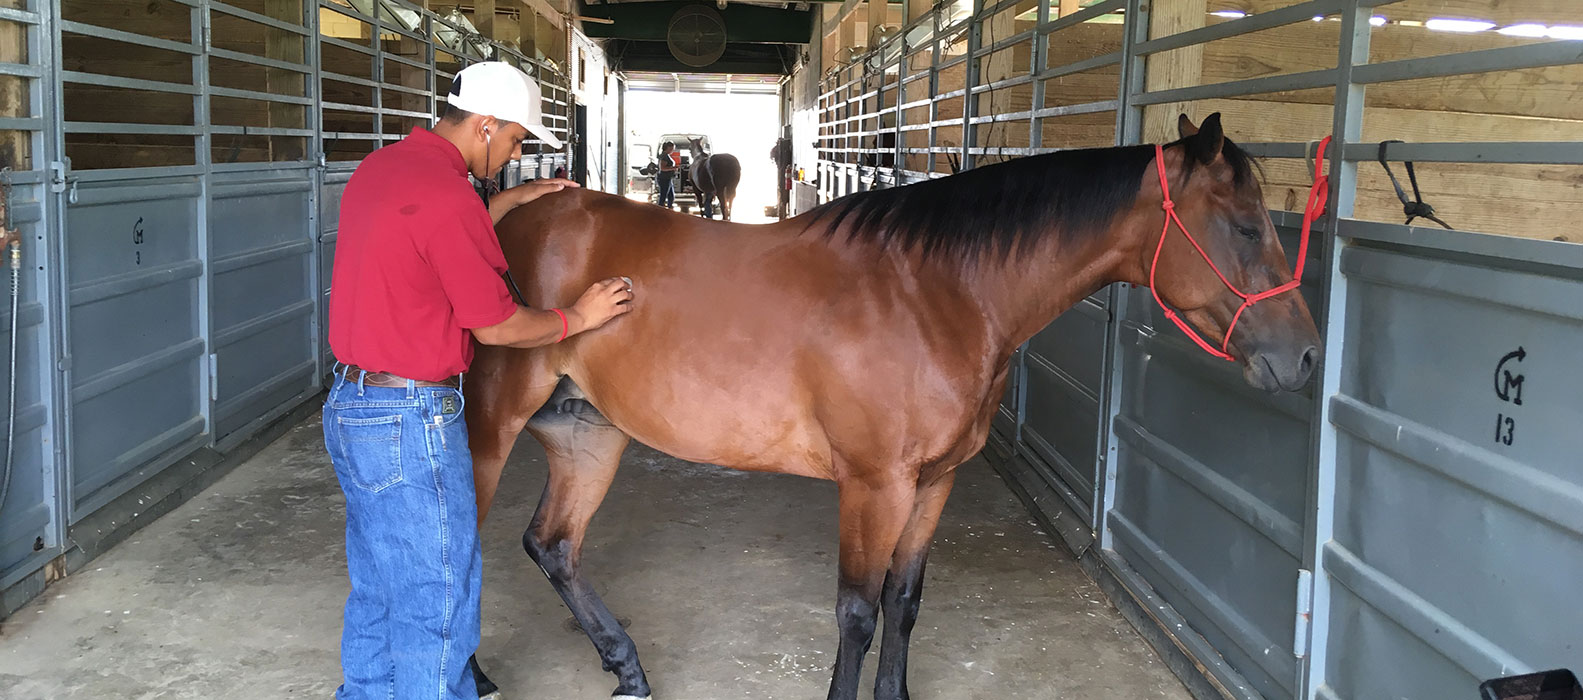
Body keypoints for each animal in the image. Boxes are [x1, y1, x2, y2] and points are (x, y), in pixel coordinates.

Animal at [462, 116, 1323, 700]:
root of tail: (510, 213)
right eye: (1246, 227)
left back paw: (626, 667)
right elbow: (857, 611)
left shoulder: (933, 482)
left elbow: (903, 603)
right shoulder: (873, 486)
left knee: (553, 547)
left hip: (587, 433)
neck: (934, 294)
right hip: (488, 429)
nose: (1306, 359)